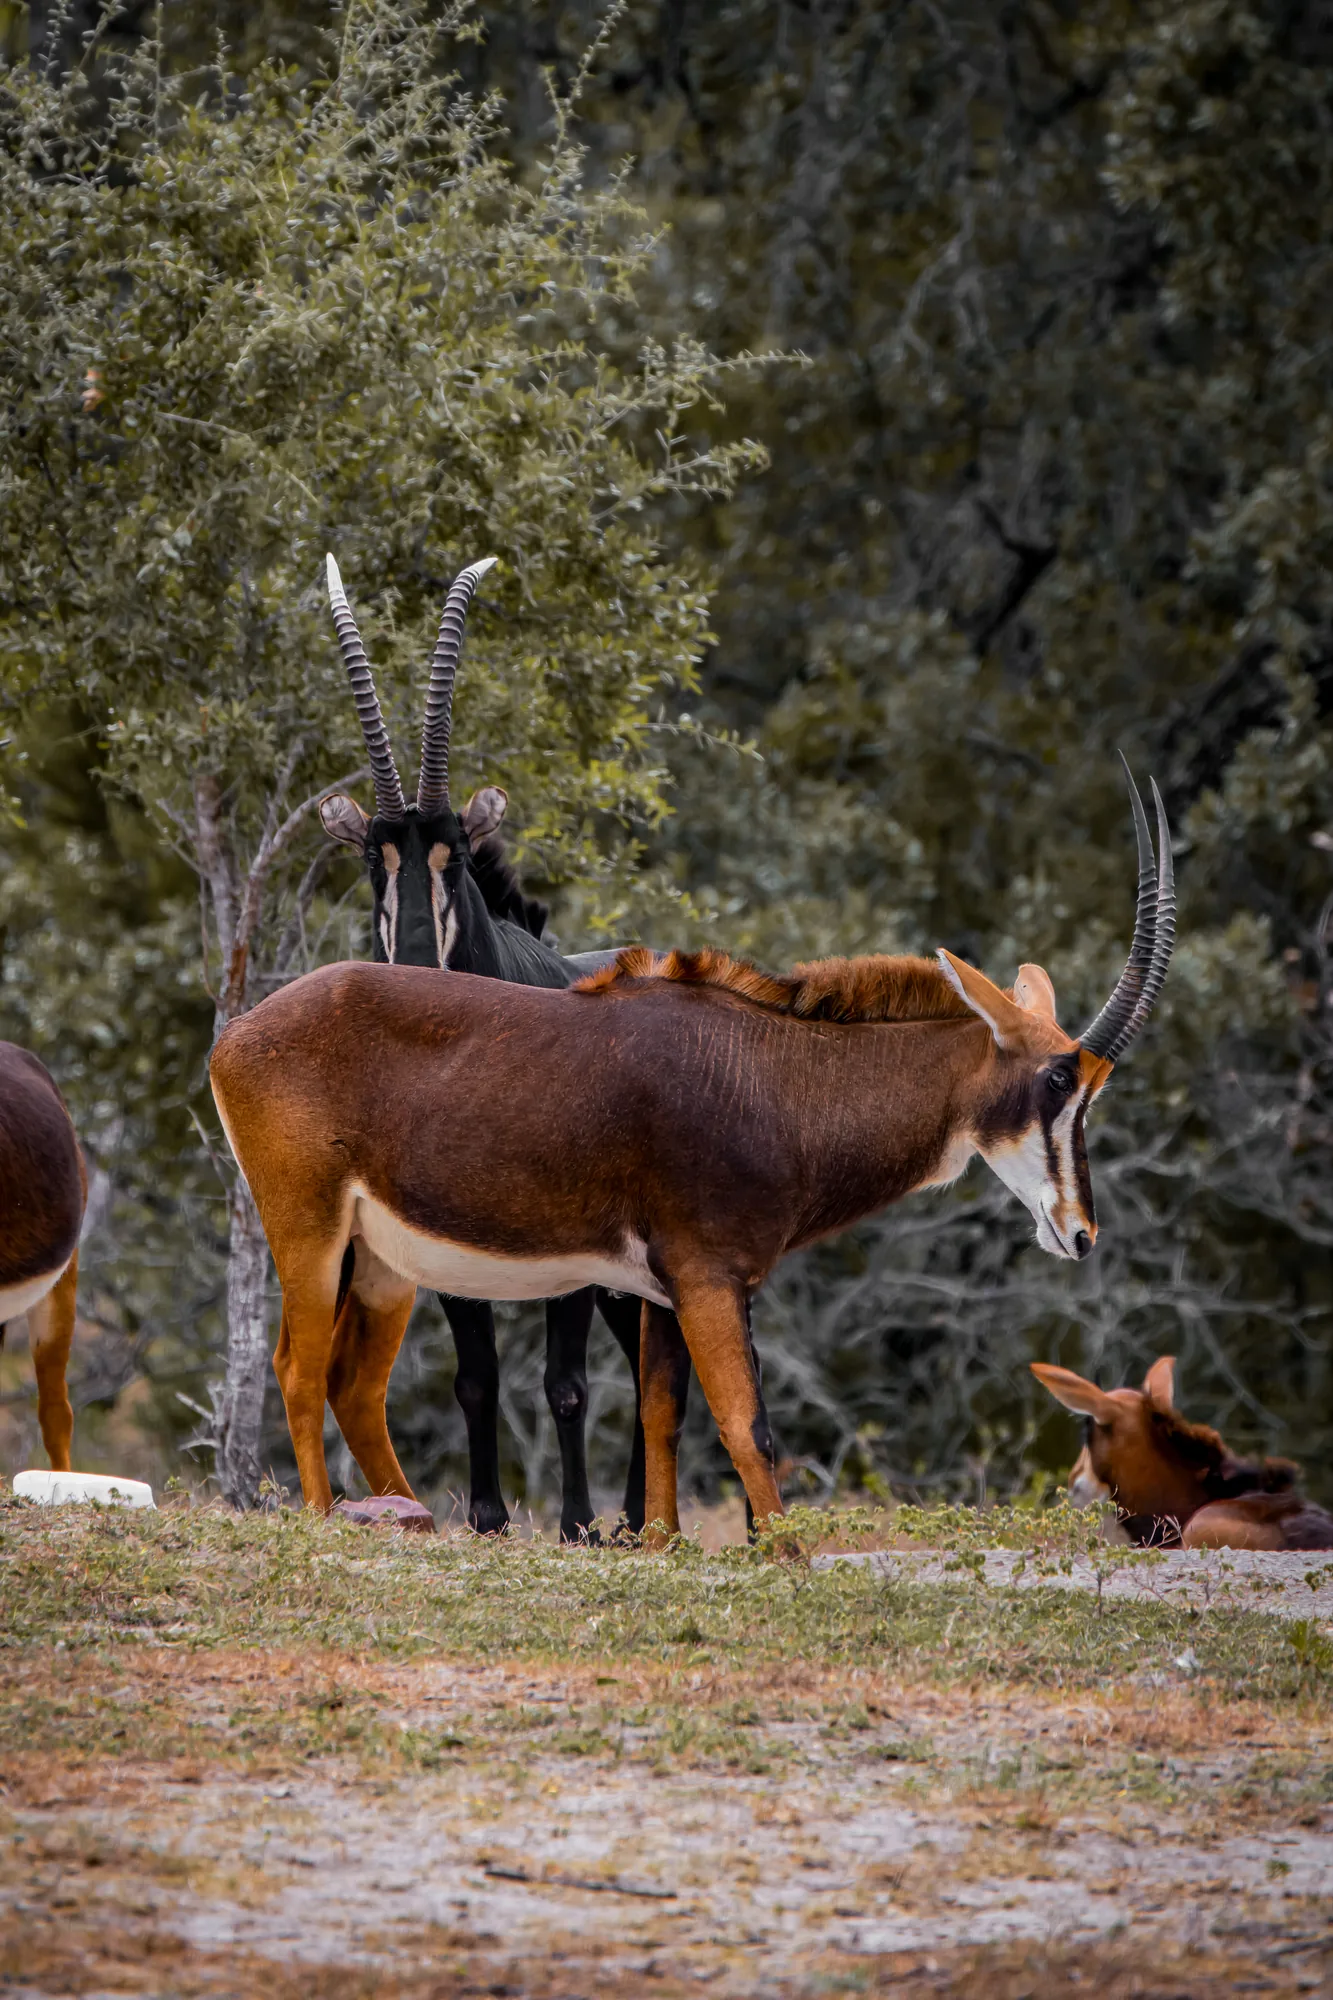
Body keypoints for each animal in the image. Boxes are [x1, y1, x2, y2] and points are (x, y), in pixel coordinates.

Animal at [211, 762, 1176, 1531]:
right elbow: (748, 1426)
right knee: (297, 1368)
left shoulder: (662, 1289)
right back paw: (325, 1518)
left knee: (353, 1384)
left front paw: (658, 1541)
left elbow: (662, 1416)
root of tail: (237, 1035)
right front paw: (782, 1556)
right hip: (308, 1232)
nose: (1079, 1232)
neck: (777, 1076)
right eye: (1056, 1079)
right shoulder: (709, 1276)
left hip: (381, 1264)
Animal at [314, 555, 647, 1541]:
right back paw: (642, 1519)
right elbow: (475, 1378)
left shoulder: (570, 1249)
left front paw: (573, 1524)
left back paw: (641, 1521)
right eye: (374, 861)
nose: (417, 975)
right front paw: (493, 1518)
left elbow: (565, 1384)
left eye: (453, 854)